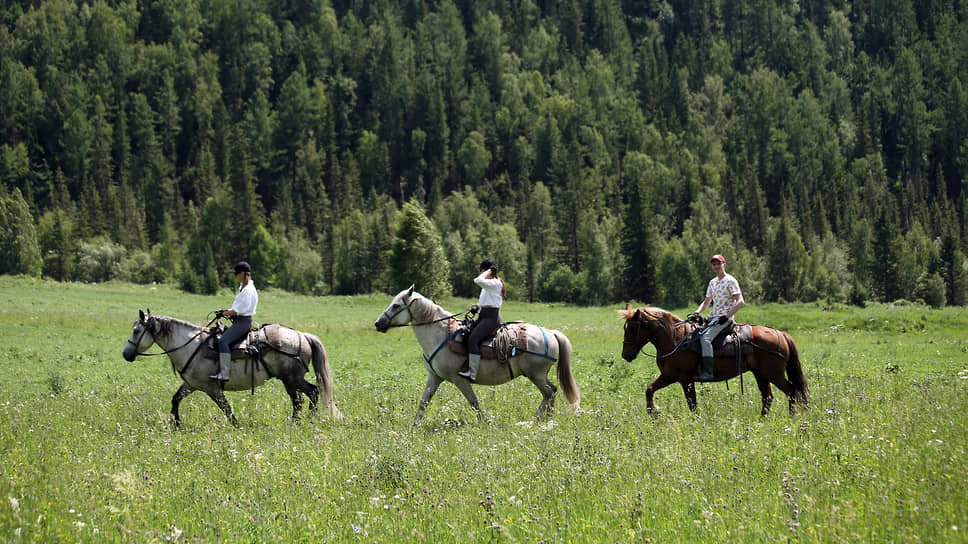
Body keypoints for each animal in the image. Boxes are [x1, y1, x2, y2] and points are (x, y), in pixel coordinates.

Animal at [121, 310, 342, 424]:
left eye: (136, 331)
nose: (126, 354)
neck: (190, 345)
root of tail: (302, 335)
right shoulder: (192, 385)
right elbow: (175, 399)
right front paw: (176, 424)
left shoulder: (211, 388)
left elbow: (226, 408)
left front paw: (237, 426)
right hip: (293, 379)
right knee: (311, 394)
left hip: (290, 379)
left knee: (304, 397)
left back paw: (298, 422)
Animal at [374, 286, 580, 422]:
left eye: (396, 306)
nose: (378, 323)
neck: (439, 334)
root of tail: (550, 333)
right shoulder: (434, 377)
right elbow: (423, 402)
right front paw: (414, 425)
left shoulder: (459, 379)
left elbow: (473, 401)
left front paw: (483, 422)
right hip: (539, 375)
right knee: (552, 391)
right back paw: (546, 419)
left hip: (536, 374)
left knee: (549, 392)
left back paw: (538, 418)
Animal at [620, 306, 808, 416]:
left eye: (633, 328)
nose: (625, 355)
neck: (675, 340)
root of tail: (781, 334)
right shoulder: (669, 376)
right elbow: (649, 390)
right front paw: (654, 412)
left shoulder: (685, 380)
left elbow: (692, 404)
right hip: (761, 374)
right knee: (768, 397)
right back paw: (762, 419)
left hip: (774, 375)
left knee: (791, 391)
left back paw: (792, 416)